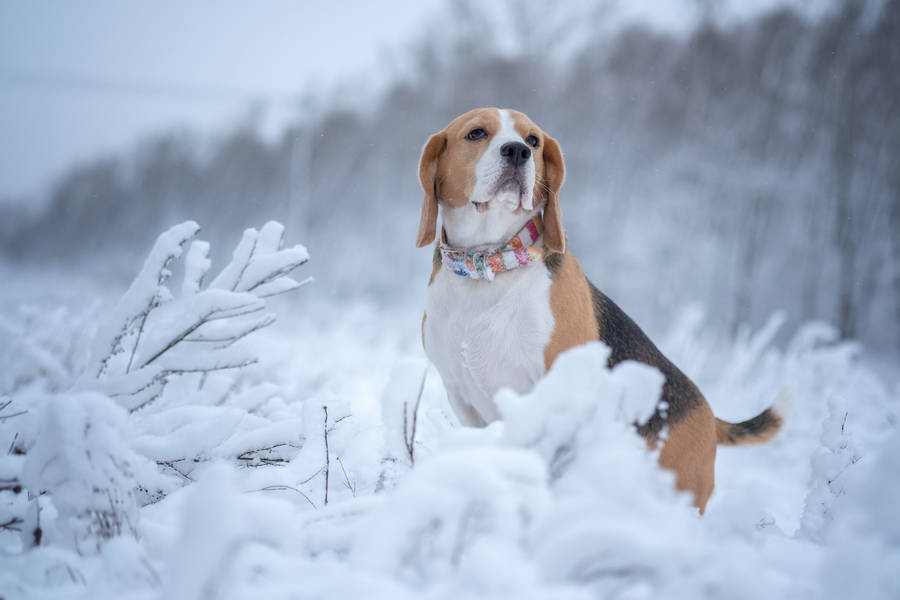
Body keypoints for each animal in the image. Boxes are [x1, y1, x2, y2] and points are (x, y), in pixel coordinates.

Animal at [418, 106, 784, 510]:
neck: (488, 267)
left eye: (533, 141)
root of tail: (709, 414)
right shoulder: (462, 394)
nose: (517, 152)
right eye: (476, 133)